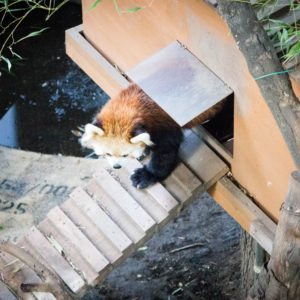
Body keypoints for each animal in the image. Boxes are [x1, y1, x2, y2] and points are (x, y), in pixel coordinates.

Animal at [81, 83, 224, 189]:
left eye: (125, 155)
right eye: (108, 154)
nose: (117, 166)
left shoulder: (166, 125)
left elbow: (165, 152)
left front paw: (146, 175)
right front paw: (145, 151)